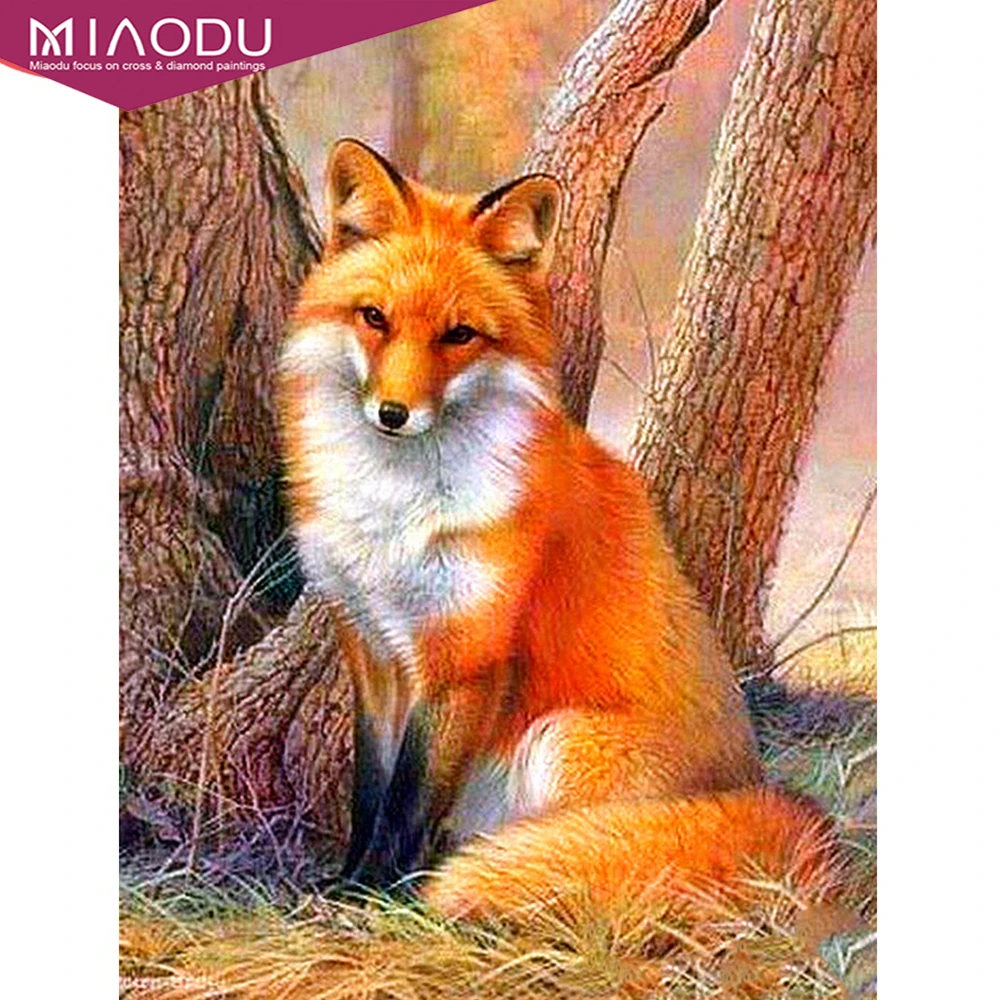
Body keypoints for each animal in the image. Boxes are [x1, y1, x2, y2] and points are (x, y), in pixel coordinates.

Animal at [278, 138, 836, 923]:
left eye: (459, 335)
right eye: (374, 317)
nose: (392, 413)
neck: (394, 509)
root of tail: (759, 790)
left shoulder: (466, 656)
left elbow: (408, 802)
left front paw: (375, 897)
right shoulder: (372, 649)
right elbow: (371, 791)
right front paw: (346, 881)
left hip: (559, 740)